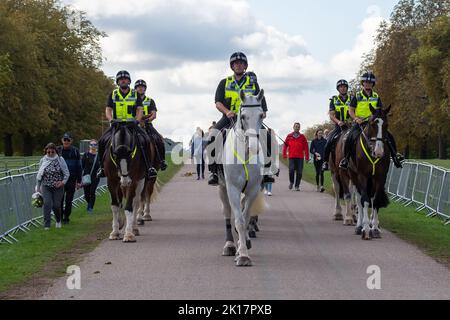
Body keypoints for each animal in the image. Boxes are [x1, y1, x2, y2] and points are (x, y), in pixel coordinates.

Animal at [219, 89, 268, 266]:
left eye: (261, 115)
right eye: (244, 116)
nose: (253, 147)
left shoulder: (253, 189)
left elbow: (245, 218)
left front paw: (243, 248)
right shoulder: (232, 188)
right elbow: (239, 221)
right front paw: (243, 255)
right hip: (222, 188)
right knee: (227, 212)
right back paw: (229, 245)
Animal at [346, 105, 392, 240]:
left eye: (386, 124)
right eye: (372, 124)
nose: (379, 152)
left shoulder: (380, 177)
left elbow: (375, 200)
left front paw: (375, 228)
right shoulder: (362, 176)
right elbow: (364, 201)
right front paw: (366, 229)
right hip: (354, 177)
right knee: (359, 199)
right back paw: (359, 226)